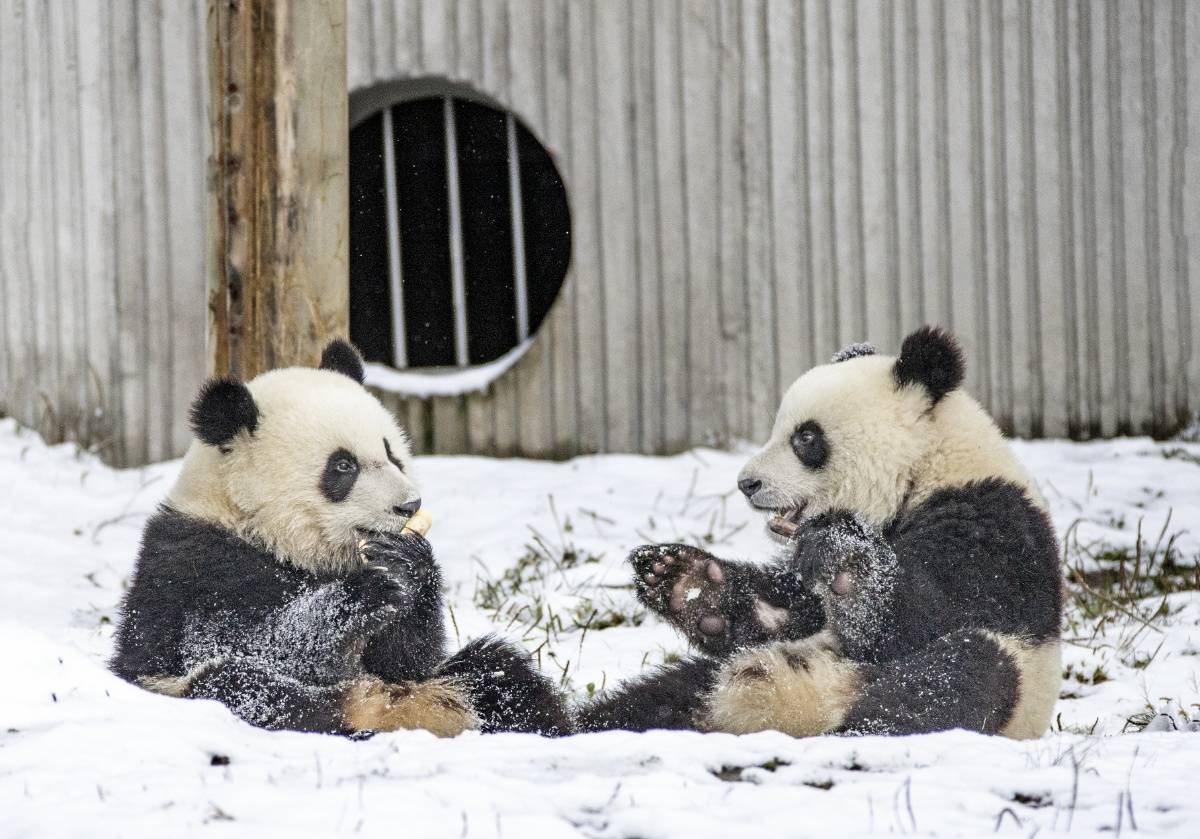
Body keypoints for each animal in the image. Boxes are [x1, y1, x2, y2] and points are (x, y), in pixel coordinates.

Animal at [110, 338, 568, 739]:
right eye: (342, 466)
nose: (409, 505)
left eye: (391, 452)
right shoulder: (200, 565)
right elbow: (249, 643)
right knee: (247, 688)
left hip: (455, 684)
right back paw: (356, 731)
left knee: (501, 676)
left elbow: (408, 660)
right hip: (181, 688)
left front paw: (409, 564)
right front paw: (364, 595)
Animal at [578, 328, 1060, 739]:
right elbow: (791, 614)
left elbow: (928, 614)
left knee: (960, 674)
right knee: (654, 699)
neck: (928, 466)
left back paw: (859, 732)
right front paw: (684, 580)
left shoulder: (995, 525)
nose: (747, 483)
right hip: (710, 684)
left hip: (1013, 690)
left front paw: (846, 561)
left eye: (806, 437)